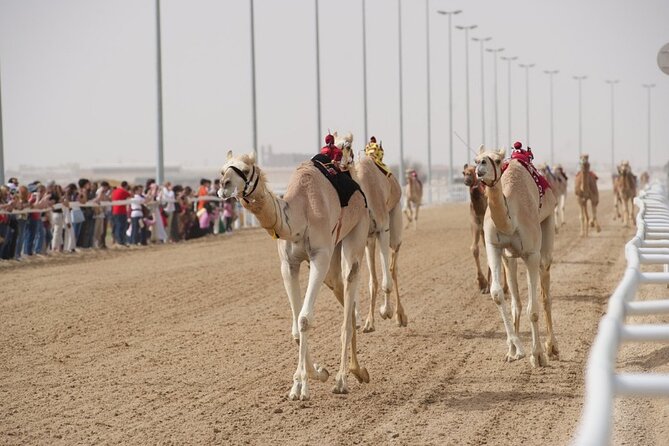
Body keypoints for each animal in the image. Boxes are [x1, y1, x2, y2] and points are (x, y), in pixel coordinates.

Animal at [222, 150, 374, 400]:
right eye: (222, 169)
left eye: (245, 170)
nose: (223, 185)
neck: (299, 215)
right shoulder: (288, 264)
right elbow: (295, 327)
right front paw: (317, 373)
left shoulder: (320, 257)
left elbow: (304, 319)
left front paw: (301, 386)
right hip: (333, 261)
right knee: (344, 300)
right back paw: (359, 371)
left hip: (357, 229)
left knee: (350, 283)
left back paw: (342, 380)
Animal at [336, 133, 404, 334]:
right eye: (332, 143)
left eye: (347, 145)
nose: (339, 162)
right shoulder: (360, 238)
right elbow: (360, 279)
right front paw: (362, 321)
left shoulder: (382, 229)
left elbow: (386, 281)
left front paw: (386, 312)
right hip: (369, 240)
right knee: (373, 279)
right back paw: (370, 322)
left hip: (393, 226)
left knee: (393, 268)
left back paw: (400, 317)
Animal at [472, 145, 560, 368]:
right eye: (476, 159)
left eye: (496, 159)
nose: (480, 169)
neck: (510, 221)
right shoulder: (494, 247)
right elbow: (497, 294)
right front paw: (515, 350)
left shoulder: (531, 253)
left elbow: (533, 309)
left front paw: (537, 355)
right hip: (509, 258)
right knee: (516, 300)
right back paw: (515, 349)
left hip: (547, 227)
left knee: (545, 293)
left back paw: (552, 348)